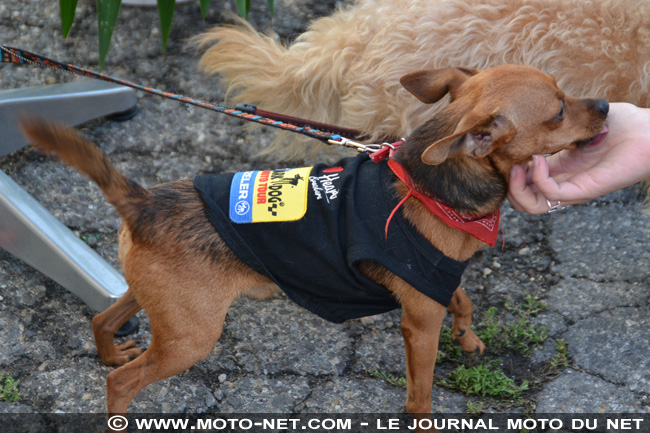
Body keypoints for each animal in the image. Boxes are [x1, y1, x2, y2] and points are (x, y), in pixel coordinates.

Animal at [20, 65, 608, 416]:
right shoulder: (419, 321)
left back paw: (109, 351)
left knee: (102, 318)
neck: (434, 185)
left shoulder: (434, 281)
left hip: (161, 305)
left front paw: (467, 337)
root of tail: (143, 200)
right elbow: (421, 394)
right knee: (122, 384)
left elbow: (462, 300)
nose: (604, 105)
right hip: (192, 338)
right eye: (558, 109)